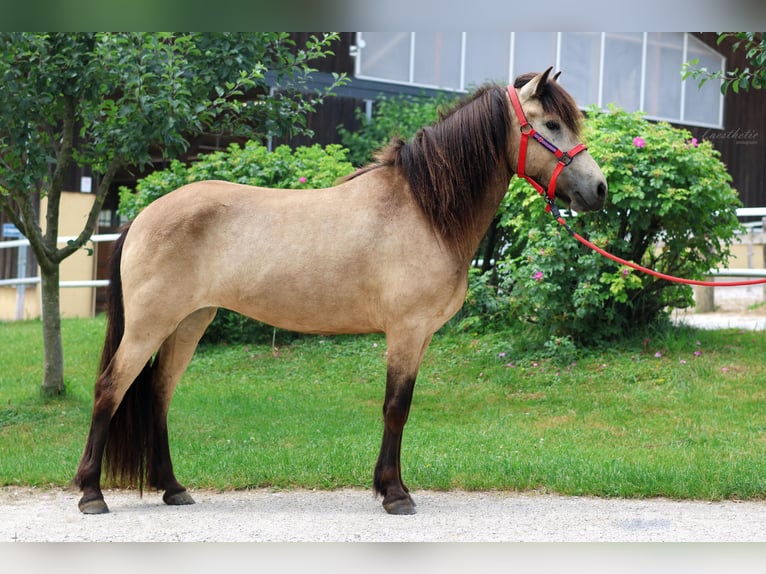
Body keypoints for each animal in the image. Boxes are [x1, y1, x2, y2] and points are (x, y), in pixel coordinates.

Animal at [74, 67, 607, 516]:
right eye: (553, 124)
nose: (599, 189)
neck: (423, 208)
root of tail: (143, 216)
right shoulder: (406, 331)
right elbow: (396, 409)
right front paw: (394, 494)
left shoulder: (419, 337)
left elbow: (399, 408)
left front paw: (392, 486)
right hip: (150, 325)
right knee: (110, 388)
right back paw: (91, 494)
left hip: (189, 322)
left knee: (158, 395)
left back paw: (173, 487)